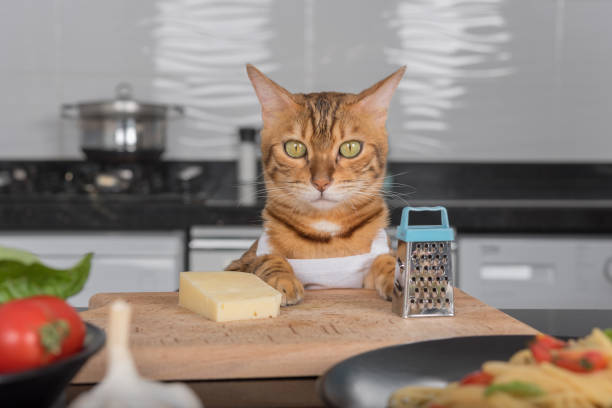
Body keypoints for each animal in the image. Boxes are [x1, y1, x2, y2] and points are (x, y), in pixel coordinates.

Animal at [227, 64, 404, 306]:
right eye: (295, 148)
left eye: (350, 148)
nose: (321, 182)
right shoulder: (236, 265)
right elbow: (263, 260)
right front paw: (282, 277)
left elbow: (388, 259)